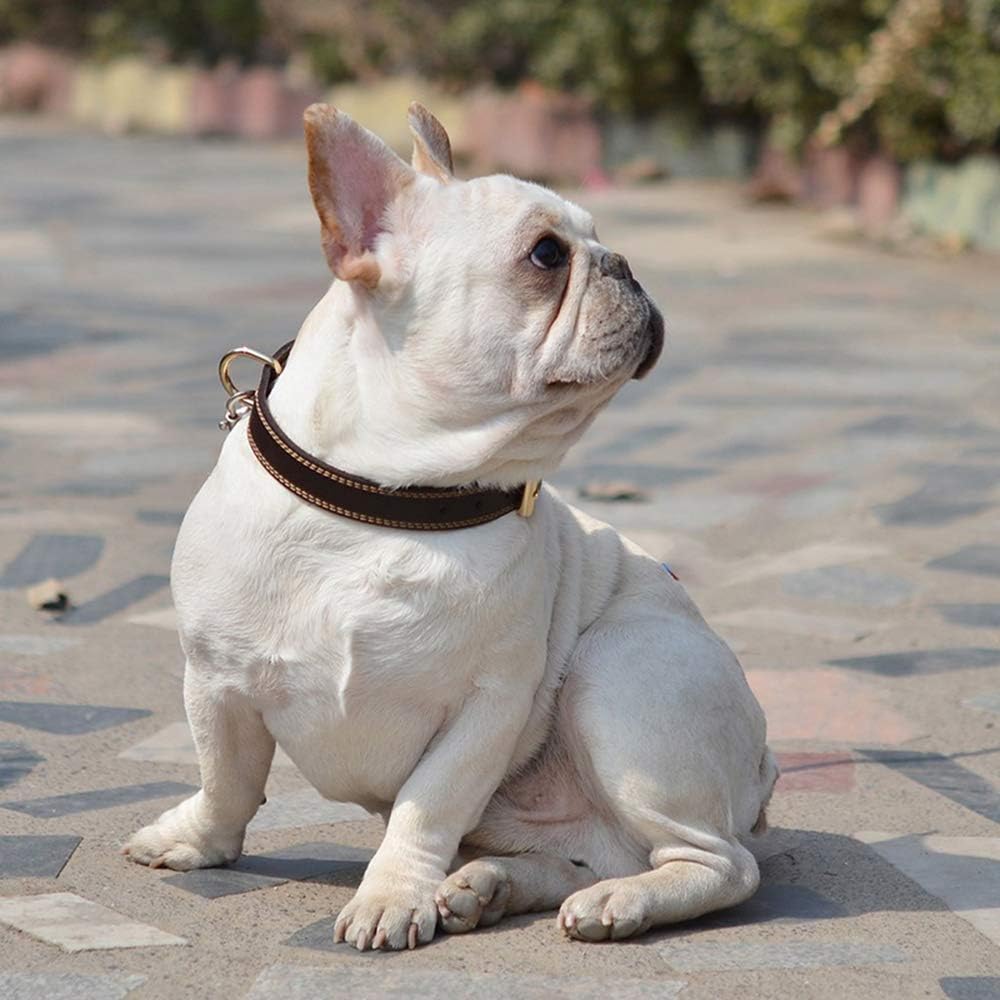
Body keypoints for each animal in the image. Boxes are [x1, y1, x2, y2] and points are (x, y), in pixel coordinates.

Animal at [125, 103, 776, 952]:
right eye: (546, 254)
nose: (625, 264)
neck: (387, 499)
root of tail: (762, 765)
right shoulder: (215, 679)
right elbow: (224, 778)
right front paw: (196, 840)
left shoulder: (486, 706)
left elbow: (425, 806)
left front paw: (390, 896)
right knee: (584, 856)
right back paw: (490, 887)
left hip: (622, 677)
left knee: (721, 865)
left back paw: (618, 904)